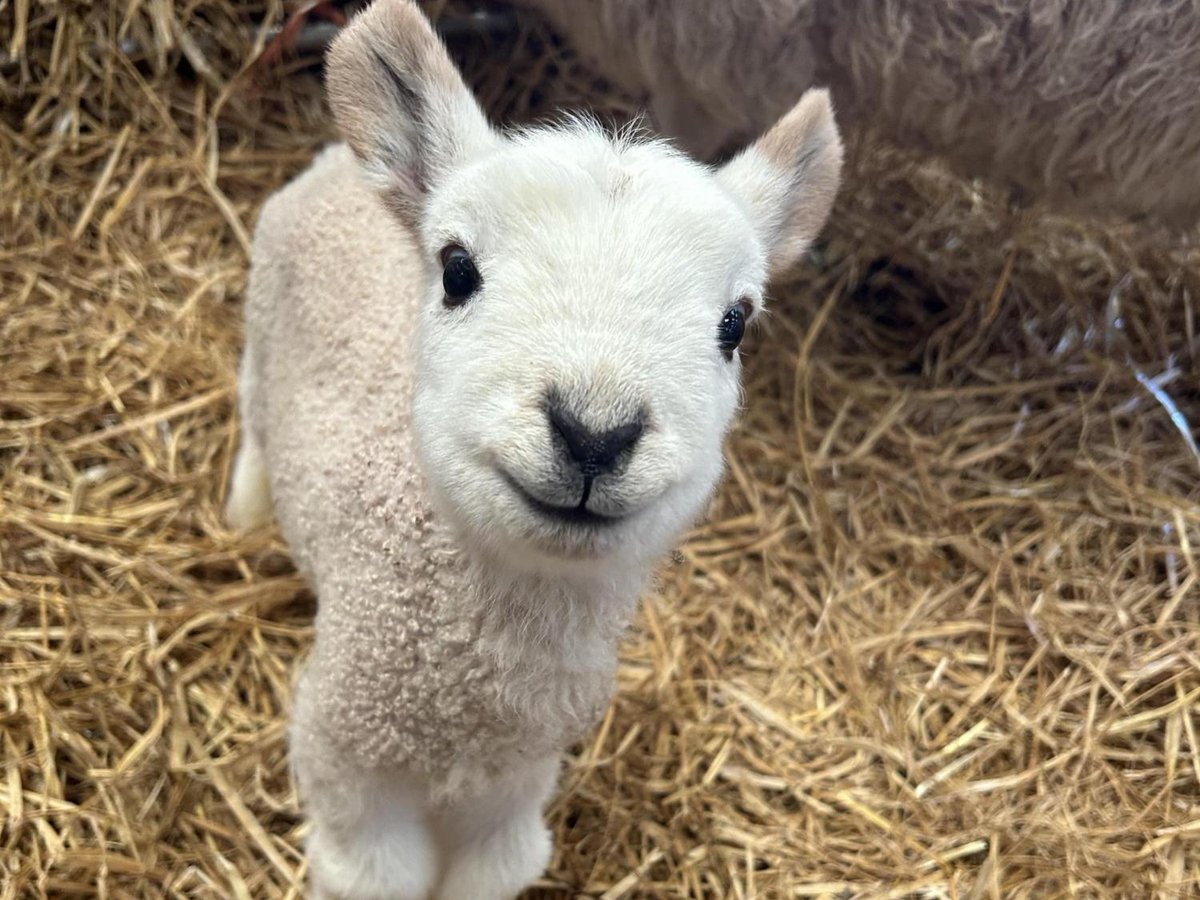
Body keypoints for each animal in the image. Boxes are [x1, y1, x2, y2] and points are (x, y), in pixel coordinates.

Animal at [224, 0, 843, 896]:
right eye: (456, 270)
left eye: (735, 324)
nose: (594, 431)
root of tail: (339, 160)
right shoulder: (345, 756)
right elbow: (374, 874)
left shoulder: (516, 786)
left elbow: (499, 865)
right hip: (262, 312)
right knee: (251, 415)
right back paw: (243, 512)